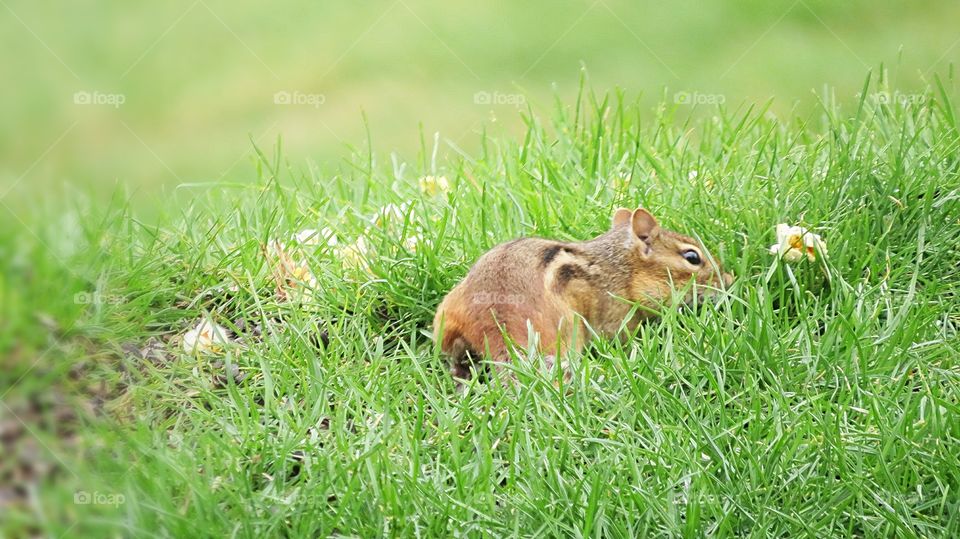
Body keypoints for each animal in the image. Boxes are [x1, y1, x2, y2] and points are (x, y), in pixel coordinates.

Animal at [432, 207, 734, 381]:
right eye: (692, 257)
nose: (729, 281)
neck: (620, 269)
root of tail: (494, 322)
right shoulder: (617, 318)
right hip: (567, 332)